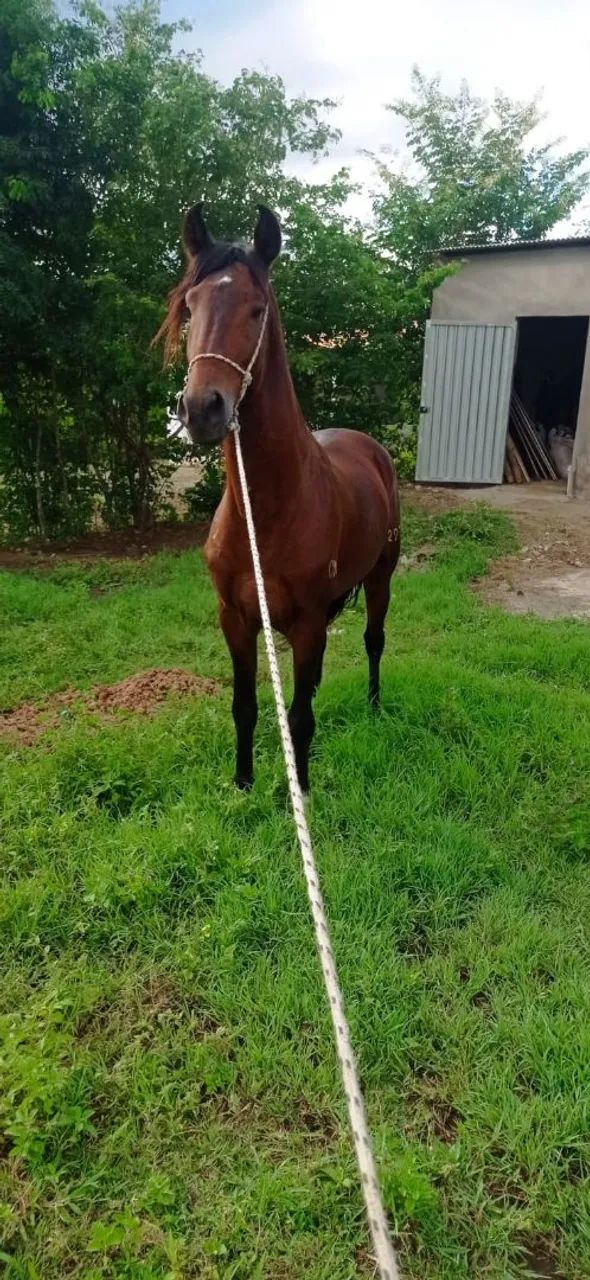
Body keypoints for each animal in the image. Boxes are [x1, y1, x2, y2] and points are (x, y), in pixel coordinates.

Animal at [157, 203, 400, 793]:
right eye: (190, 307)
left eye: (256, 309)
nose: (202, 409)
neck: (266, 513)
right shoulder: (235, 619)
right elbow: (245, 705)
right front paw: (244, 782)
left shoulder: (307, 624)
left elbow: (298, 716)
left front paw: (303, 789)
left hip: (380, 577)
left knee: (374, 640)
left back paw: (375, 706)